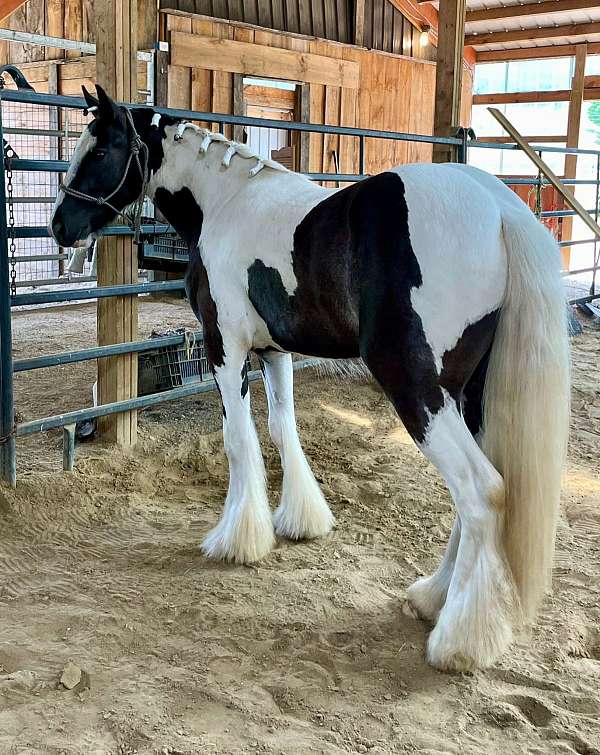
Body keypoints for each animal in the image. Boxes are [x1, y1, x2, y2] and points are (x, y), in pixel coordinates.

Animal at [50, 85, 570, 672]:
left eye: (100, 148)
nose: (59, 225)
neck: (225, 203)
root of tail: (499, 207)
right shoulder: (274, 351)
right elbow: (283, 429)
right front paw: (299, 520)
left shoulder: (225, 346)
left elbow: (239, 439)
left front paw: (237, 540)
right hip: (465, 391)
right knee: (476, 492)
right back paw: (432, 598)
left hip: (417, 388)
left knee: (482, 491)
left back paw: (460, 641)